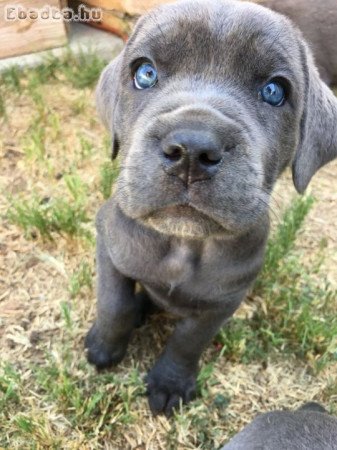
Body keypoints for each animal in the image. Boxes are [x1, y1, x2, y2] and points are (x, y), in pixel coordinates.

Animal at [83, 0, 336, 414]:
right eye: (145, 73)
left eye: (274, 91)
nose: (191, 150)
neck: (183, 244)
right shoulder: (109, 245)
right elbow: (114, 303)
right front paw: (104, 347)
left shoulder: (223, 300)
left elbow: (190, 340)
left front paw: (170, 383)